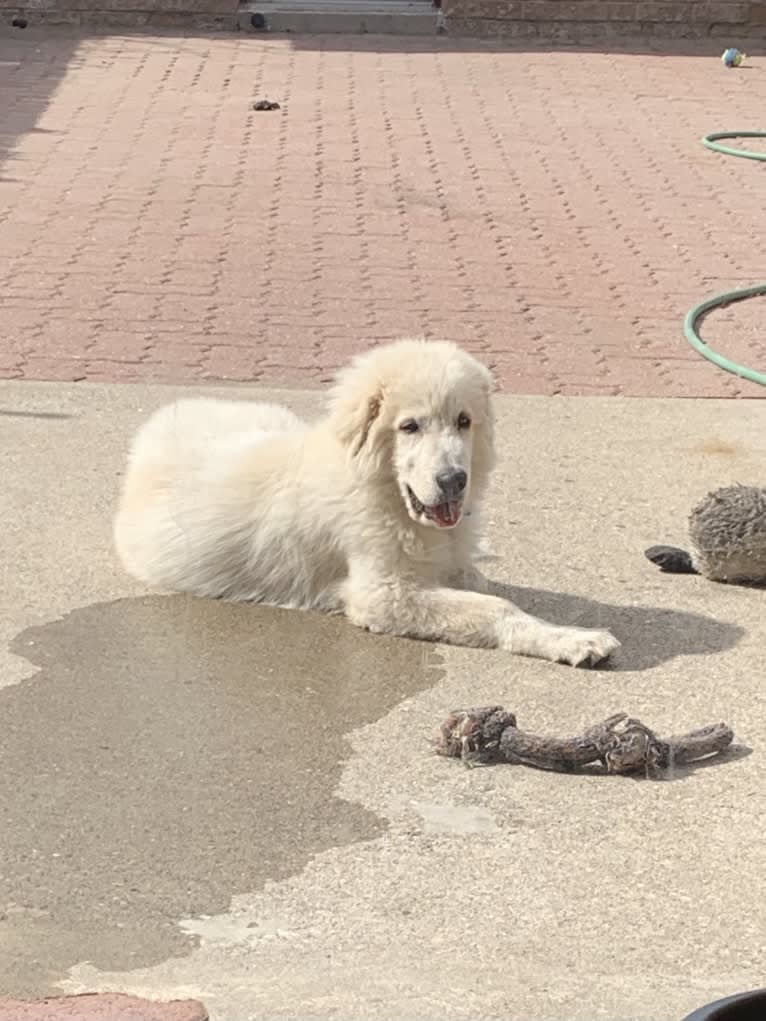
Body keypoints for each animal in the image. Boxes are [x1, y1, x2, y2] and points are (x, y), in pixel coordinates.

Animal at [115, 338, 625, 665]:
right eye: (409, 426)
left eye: (463, 421)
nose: (454, 480)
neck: (387, 495)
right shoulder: (382, 594)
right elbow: (495, 606)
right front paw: (573, 640)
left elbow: (484, 587)